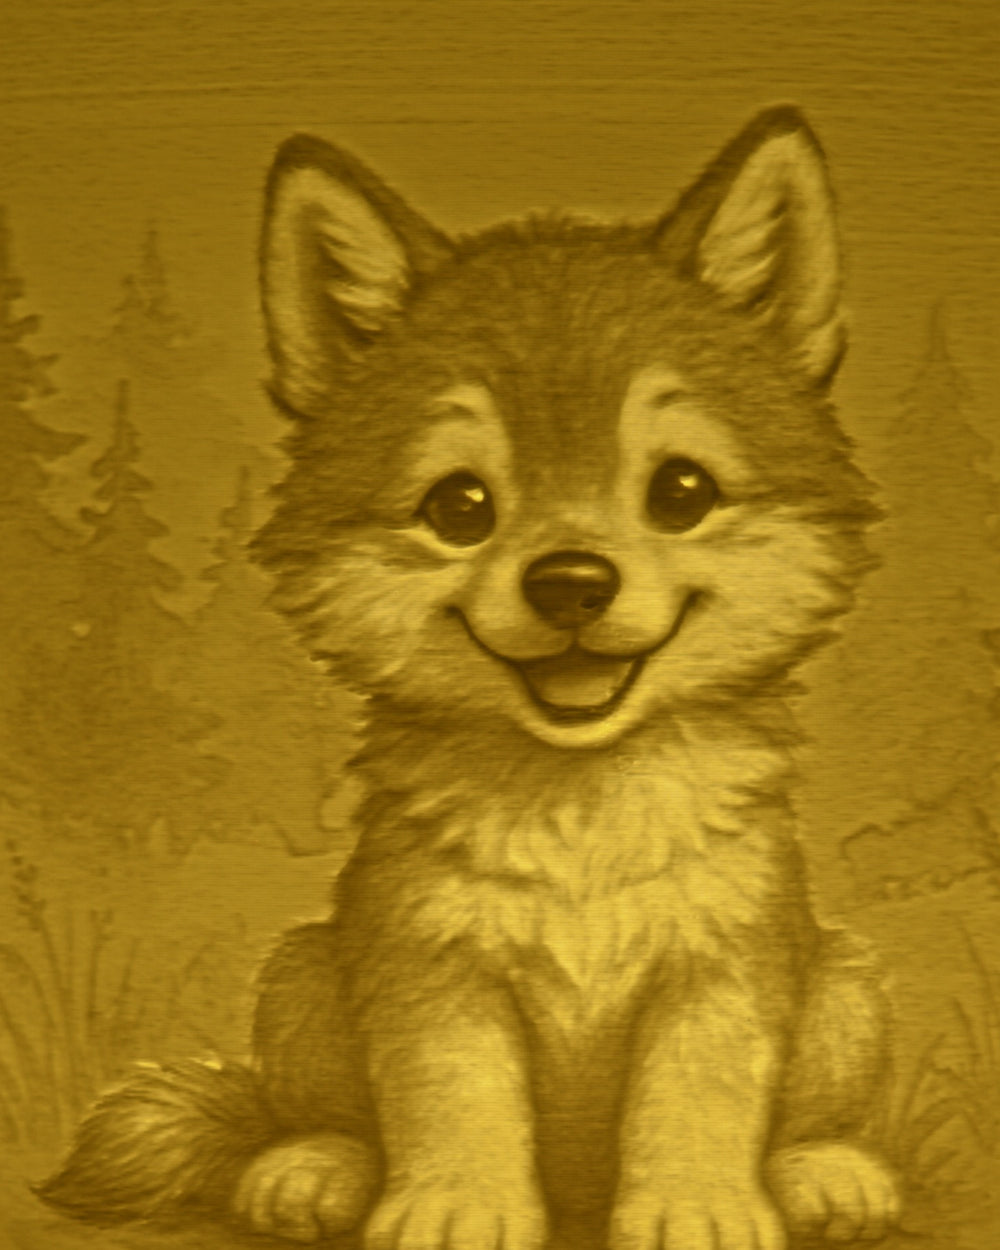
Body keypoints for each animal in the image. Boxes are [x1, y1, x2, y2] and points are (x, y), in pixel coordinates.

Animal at [41, 107, 901, 1250]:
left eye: (680, 490)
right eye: (460, 507)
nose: (571, 582)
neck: (579, 817)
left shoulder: (721, 965)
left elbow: (697, 1097)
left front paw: (696, 1205)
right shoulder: (432, 969)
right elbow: (453, 1099)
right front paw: (457, 1204)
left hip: (847, 984)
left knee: (806, 1111)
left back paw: (820, 1173)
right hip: (301, 972)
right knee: (314, 1113)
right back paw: (312, 1168)